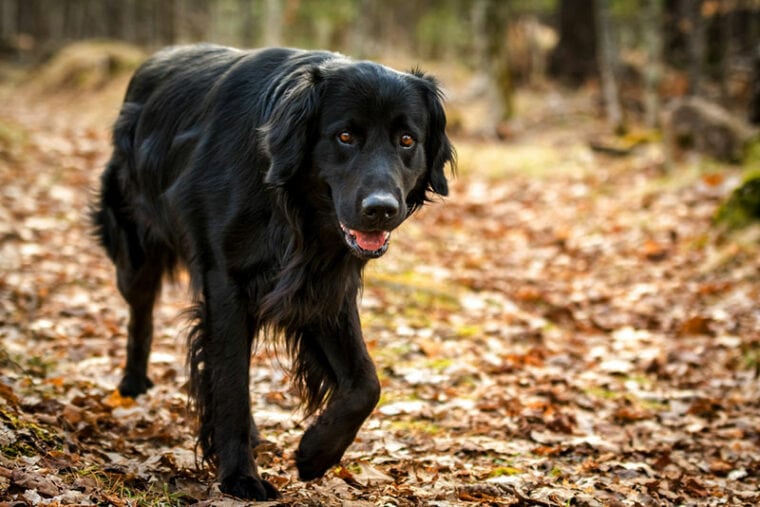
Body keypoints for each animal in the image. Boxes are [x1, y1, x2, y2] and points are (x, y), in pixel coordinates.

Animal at [93, 45, 454, 502]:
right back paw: (133, 385)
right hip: (135, 251)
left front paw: (316, 452)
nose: (381, 210)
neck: (292, 210)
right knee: (141, 314)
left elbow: (366, 383)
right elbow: (231, 382)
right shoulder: (226, 284)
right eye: (345, 136)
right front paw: (239, 476)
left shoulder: (323, 287)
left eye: (407, 140)